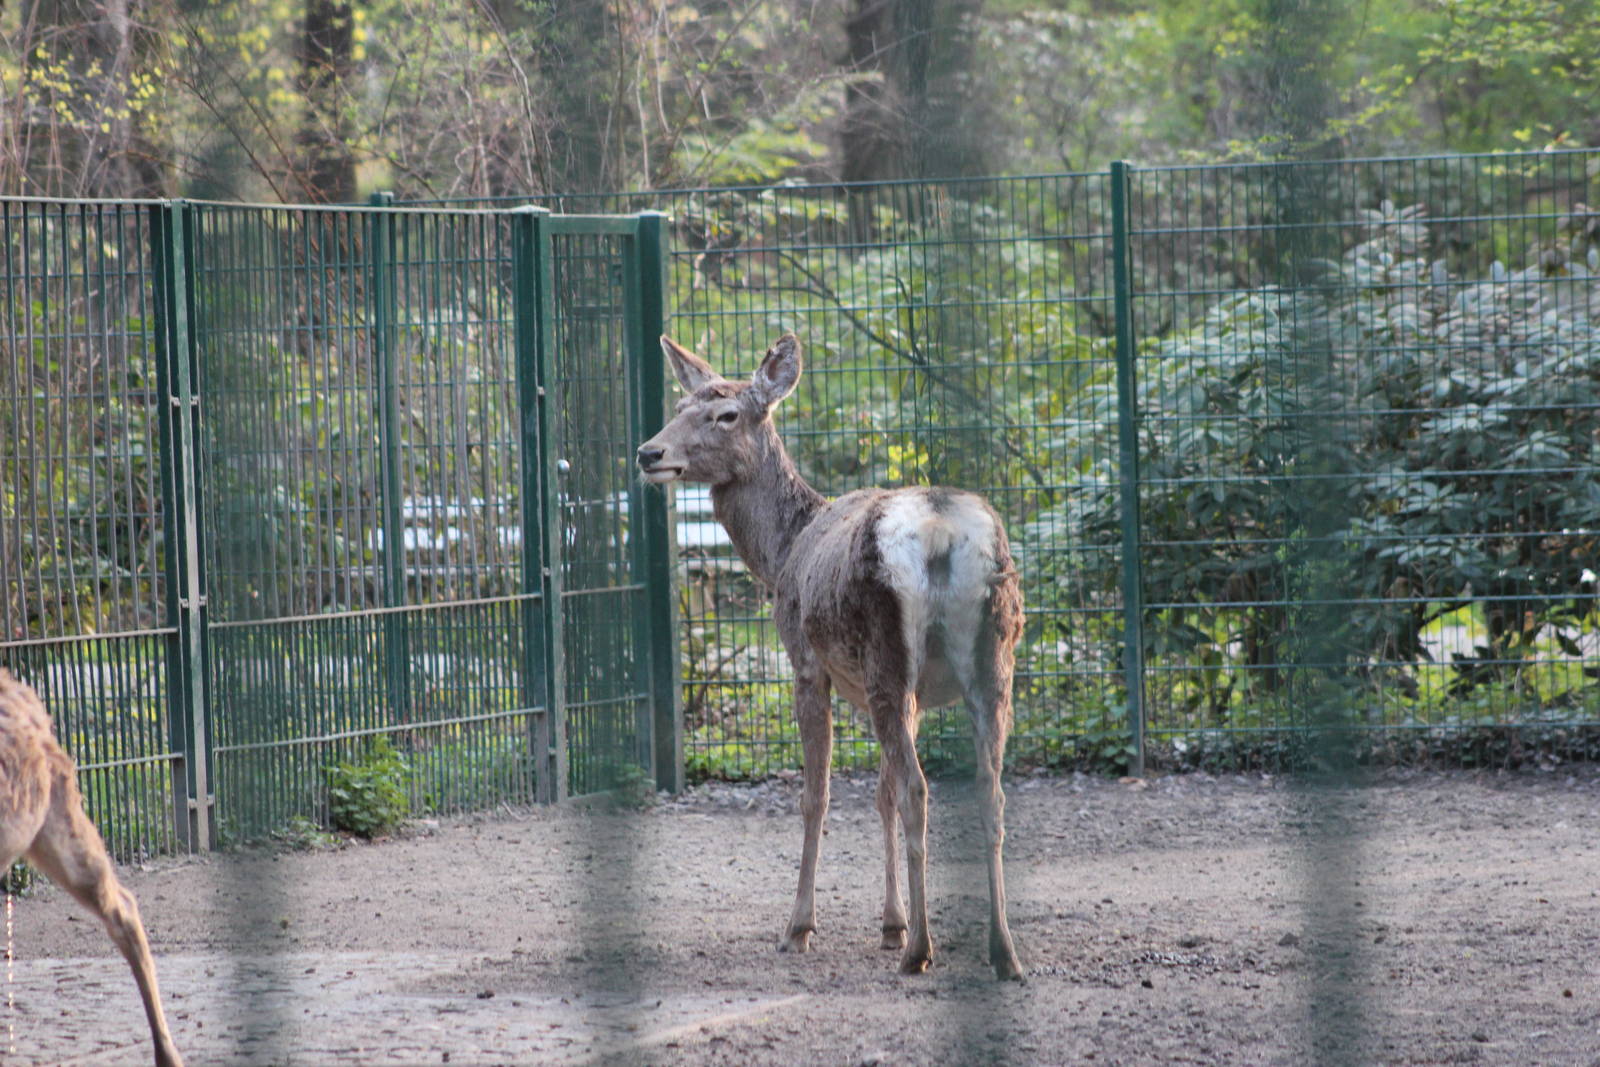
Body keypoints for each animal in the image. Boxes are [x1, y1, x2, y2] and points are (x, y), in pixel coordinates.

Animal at [637, 334, 1025, 981]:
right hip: (992, 666)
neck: (781, 553)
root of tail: (942, 538)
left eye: (726, 414)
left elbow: (816, 797)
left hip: (889, 650)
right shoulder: (912, 695)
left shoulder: (805, 663)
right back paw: (1003, 952)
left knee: (920, 790)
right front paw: (891, 923)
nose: (649, 452)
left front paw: (800, 927)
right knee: (988, 793)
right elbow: (879, 793)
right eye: (681, 403)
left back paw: (923, 952)